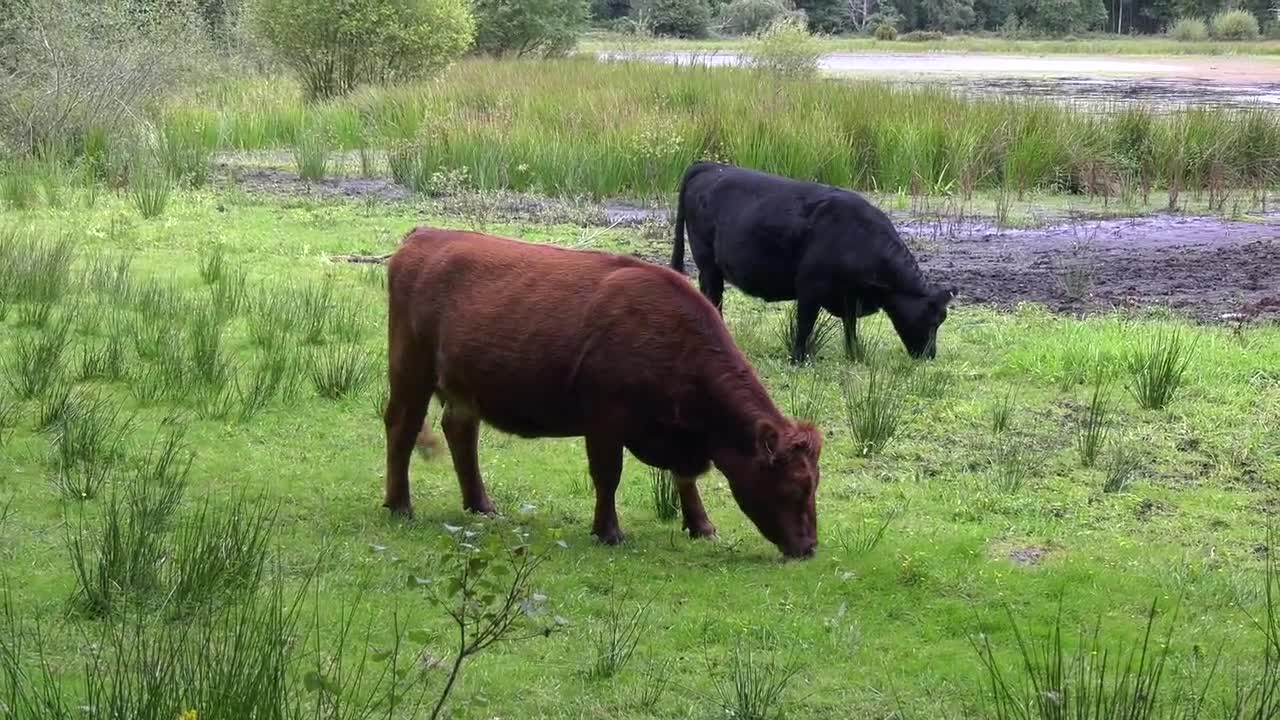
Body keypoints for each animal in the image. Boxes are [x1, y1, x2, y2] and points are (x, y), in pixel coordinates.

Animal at [378, 226, 824, 558]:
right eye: (795, 486)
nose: (808, 548)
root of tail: (425, 235)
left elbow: (684, 479)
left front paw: (701, 525)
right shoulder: (605, 422)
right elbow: (608, 475)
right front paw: (608, 531)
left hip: (463, 386)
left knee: (460, 431)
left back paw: (481, 505)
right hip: (411, 370)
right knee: (402, 427)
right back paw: (400, 504)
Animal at [670, 163, 962, 363]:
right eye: (932, 319)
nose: (930, 355)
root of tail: (710, 165)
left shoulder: (848, 296)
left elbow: (850, 328)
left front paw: (854, 354)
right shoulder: (810, 287)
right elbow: (805, 324)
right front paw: (798, 358)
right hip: (708, 264)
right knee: (713, 298)